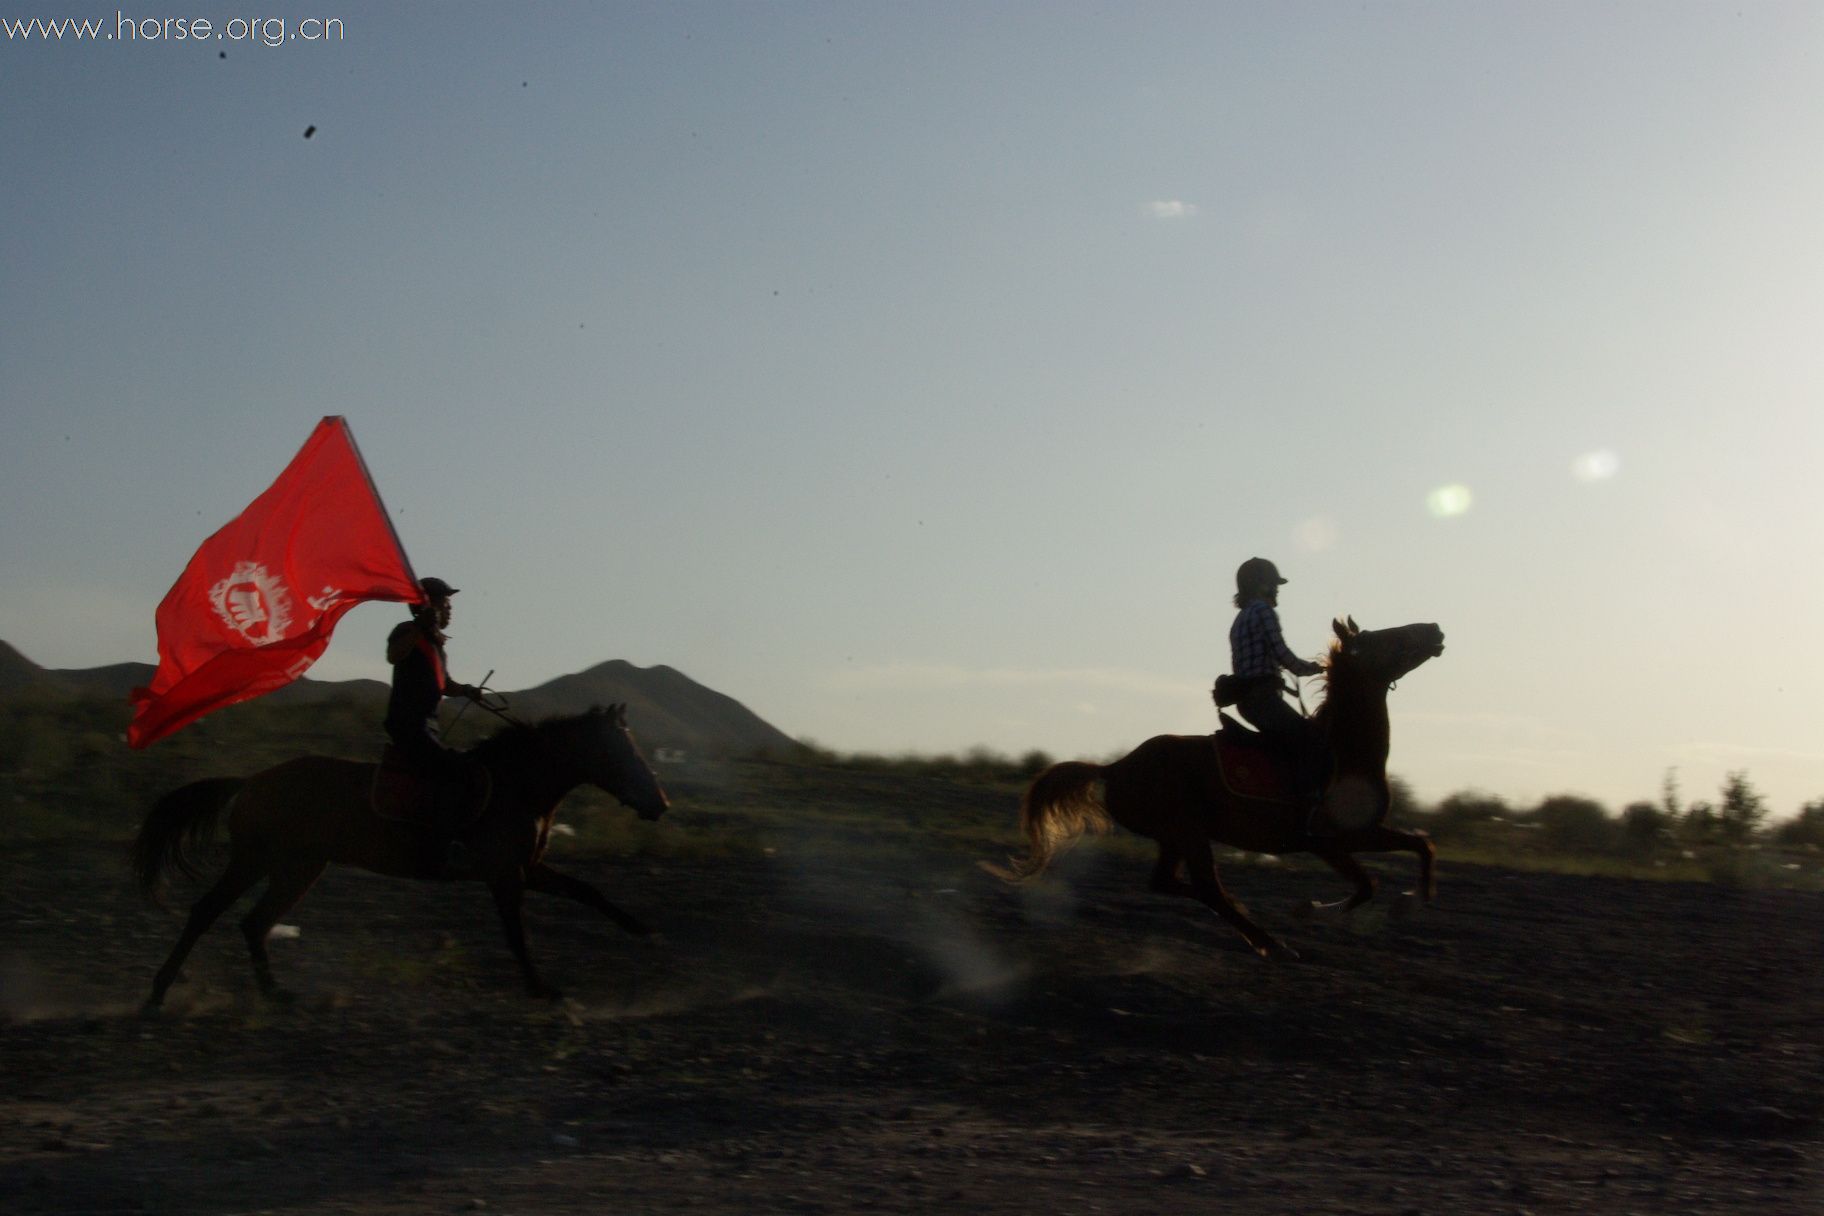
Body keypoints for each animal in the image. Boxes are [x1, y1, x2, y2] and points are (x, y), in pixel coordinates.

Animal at [132, 703, 671, 1006]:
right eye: (622, 752)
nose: (660, 803)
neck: (517, 786)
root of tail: (251, 782)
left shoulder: (528, 869)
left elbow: (587, 890)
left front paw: (643, 929)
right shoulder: (504, 876)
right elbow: (517, 937)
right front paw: (542, 990)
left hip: (299, 866)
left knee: (253, 923)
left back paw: (276, 995)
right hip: (257, 859)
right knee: (207, 913)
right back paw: (157, 993)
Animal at [992, 623, 1444, 962]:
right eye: (1382, 637)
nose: (1435, 629)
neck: (1344, 752)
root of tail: (1115, 767)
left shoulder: (1358, 835)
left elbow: (1420, 847)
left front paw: (1409, 900)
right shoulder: (1334, 840)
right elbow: (1371, 882)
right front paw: (1314, 910)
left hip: (1175, 837)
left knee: (1169, 882)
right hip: (1189, 834)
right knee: (1208, 887)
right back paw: (1270, 942)